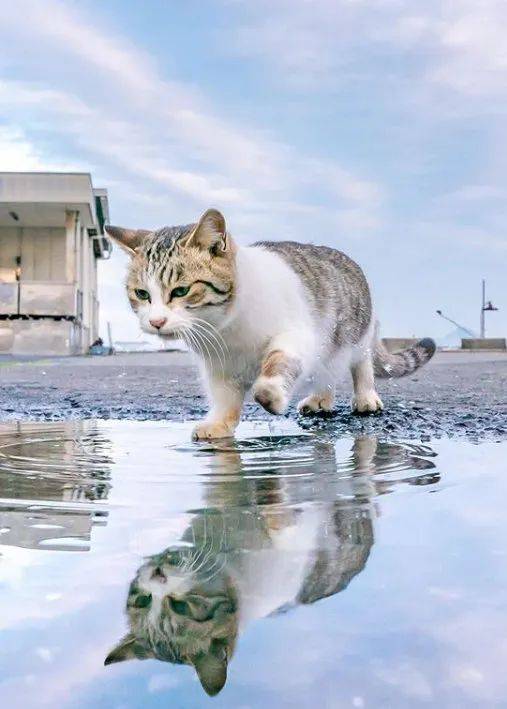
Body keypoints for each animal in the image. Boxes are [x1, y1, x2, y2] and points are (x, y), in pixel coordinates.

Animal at [105, 207, 434, 440]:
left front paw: (270, 394)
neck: (226, 329)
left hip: (352, 335)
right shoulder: (218, 364)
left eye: (181, 291)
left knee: (358, 365)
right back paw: (321, 399)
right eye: (142, 294)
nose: (156, 321)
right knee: (328, 373)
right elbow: (224, 397)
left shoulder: (299, 335)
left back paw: (365, 397)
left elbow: (278, 362)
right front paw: (220, 423)